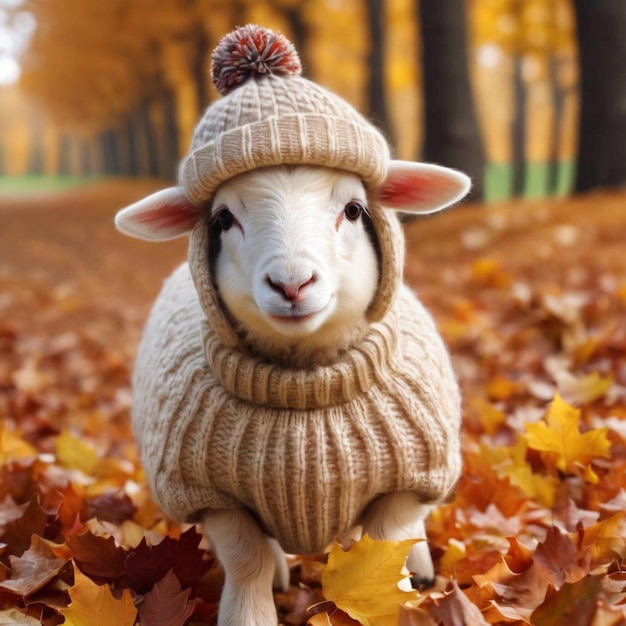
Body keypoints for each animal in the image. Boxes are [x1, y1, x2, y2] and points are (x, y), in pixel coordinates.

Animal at [113, 23, 468, 624]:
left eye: (353, 210)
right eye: (223, 219)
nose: (292, 284)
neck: (304, 381)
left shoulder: (405, 480)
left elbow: (388, 548)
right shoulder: (209, 494)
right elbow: (248, 558)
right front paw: (251, 612)